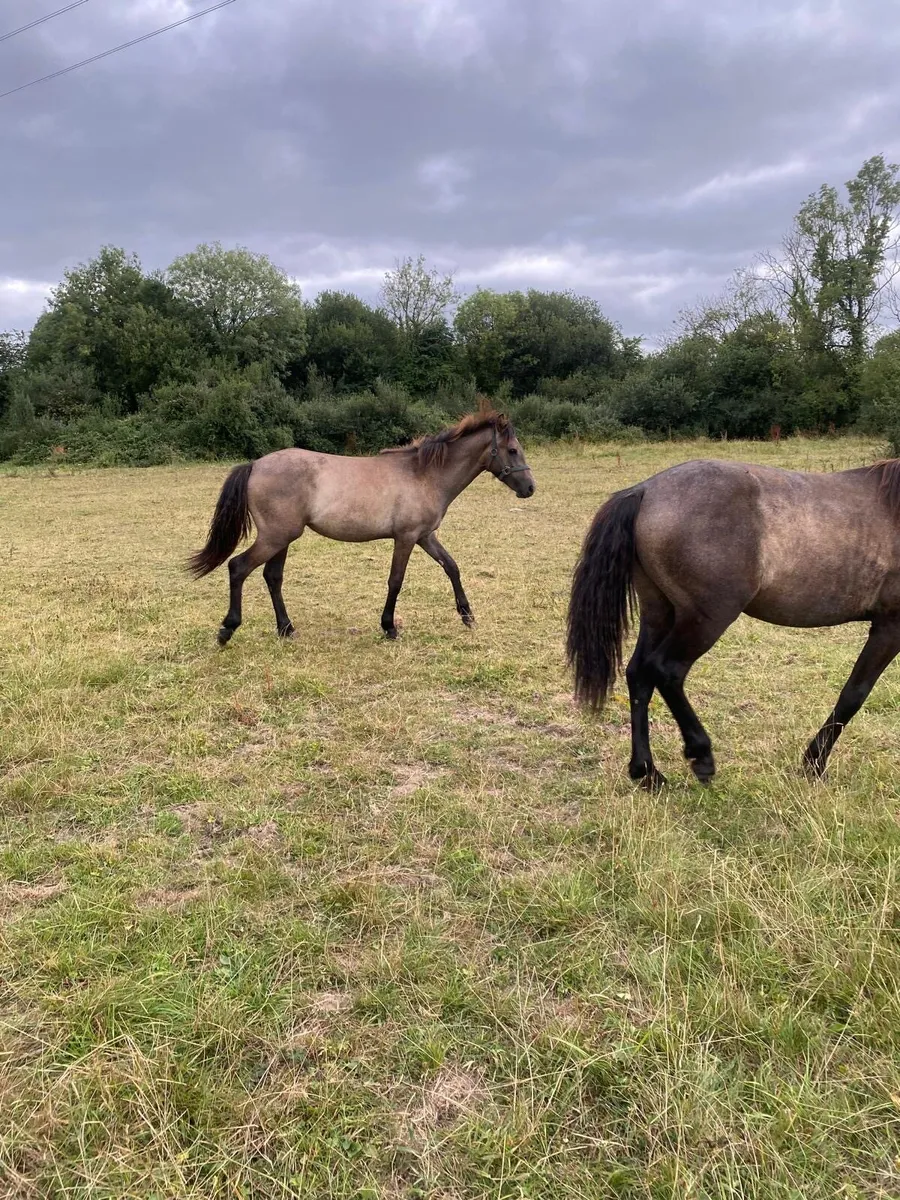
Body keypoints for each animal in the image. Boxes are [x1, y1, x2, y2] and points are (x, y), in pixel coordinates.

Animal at [187, 409, 535, 644]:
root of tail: (256, 464)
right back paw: (228, 629)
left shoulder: (425, 536)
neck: (424, 475)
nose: (530, 488)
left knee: (272, 577)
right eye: (513, 450)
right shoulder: (406, 537)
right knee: (238, 567)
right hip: (275, 537)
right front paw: (389, 627)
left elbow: (451, 566)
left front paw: (467, 616)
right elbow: (395, 581)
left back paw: (286, 629)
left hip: (282, 538)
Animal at [566, 457, 900, 787]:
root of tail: (645, 489)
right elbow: (854, 694)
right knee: (666, 670)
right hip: (707, 618)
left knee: (639, 675)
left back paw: (646, 771)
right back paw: (701, 755)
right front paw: (814, 763)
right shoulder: (889, 628)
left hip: (659, 613)